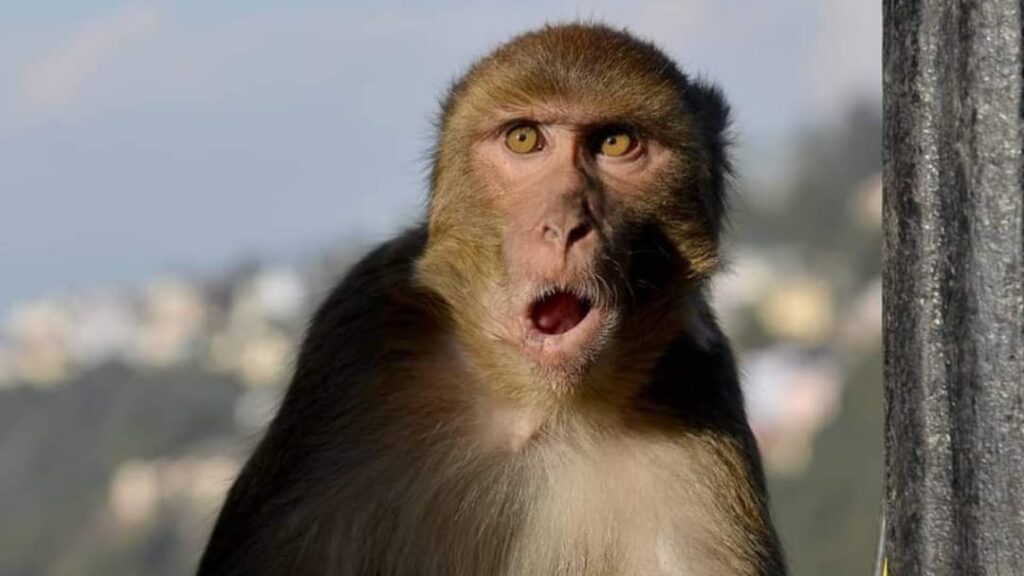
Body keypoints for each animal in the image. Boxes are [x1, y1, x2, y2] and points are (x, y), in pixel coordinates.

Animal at [198, 23, 787, 576]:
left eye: (616, 143)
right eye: (524, 139)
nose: (565, 226)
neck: (539, 409)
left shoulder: (698, 401)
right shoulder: (360, 333)